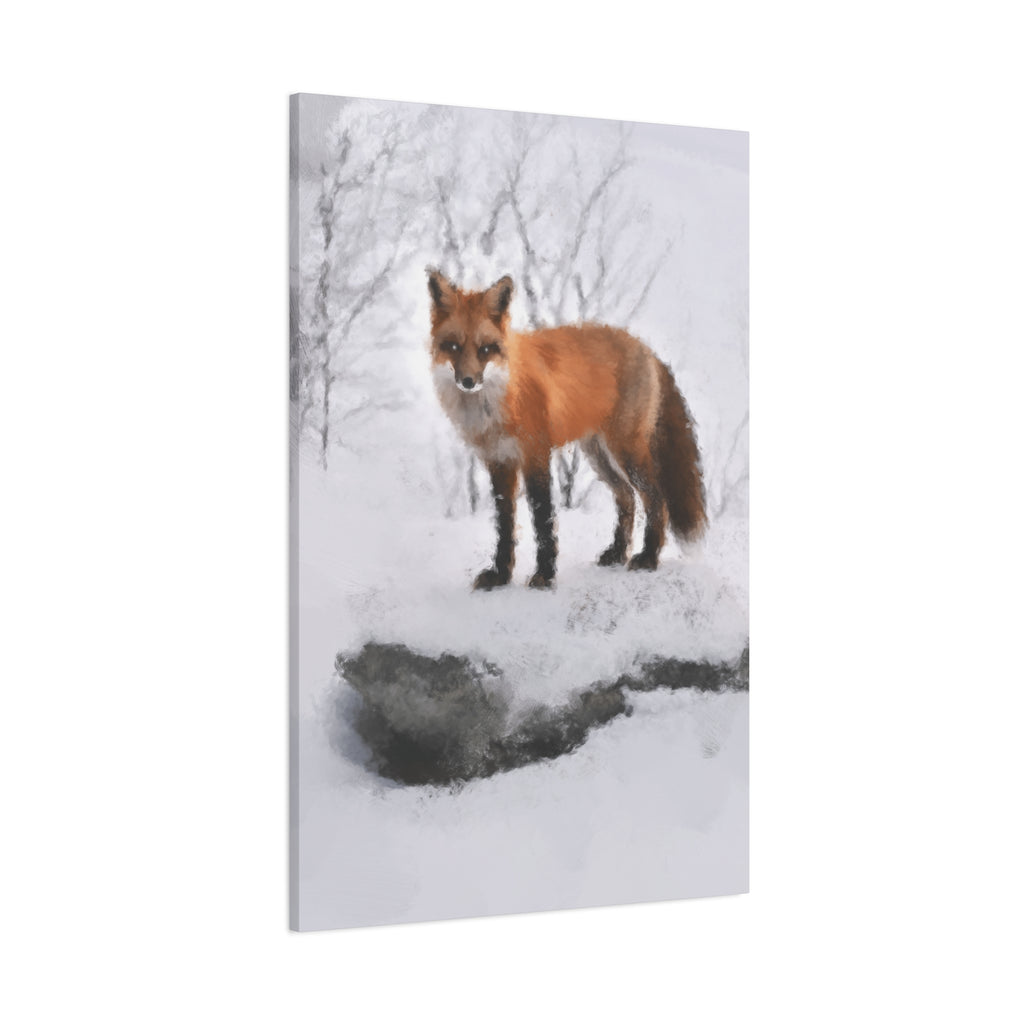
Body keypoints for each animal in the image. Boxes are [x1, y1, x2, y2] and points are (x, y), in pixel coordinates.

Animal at [428, 269, 706, 590]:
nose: (468, 381)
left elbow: (543, 519)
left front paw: (544, 575)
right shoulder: (499, 461)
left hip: (626, 452)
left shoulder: (535, 454)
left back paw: (648, 557)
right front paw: (500, 575)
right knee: (626, 498)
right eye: (453, 346)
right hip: (599, 456)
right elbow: (505, 524)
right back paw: (618, 553)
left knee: (656, 499)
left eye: (485, 349)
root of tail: (645, 347)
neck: (499, 399)